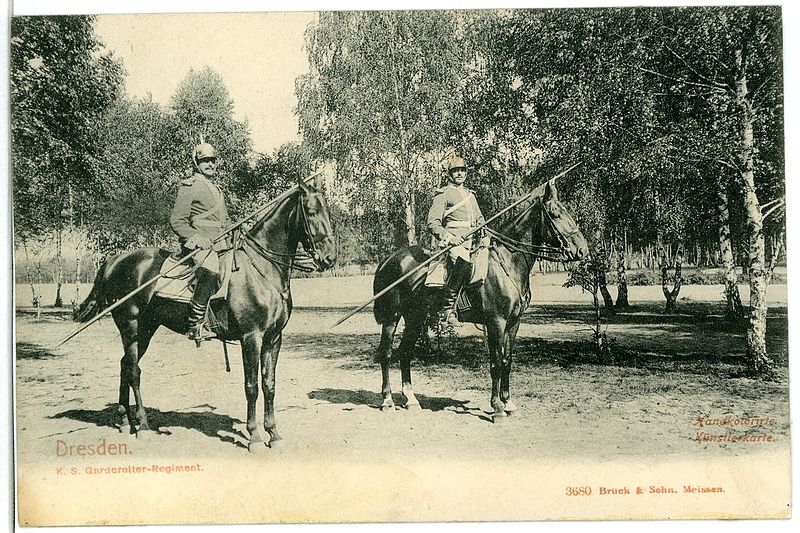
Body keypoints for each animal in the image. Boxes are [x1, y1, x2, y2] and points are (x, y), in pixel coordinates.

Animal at [73, 179, 336, 448]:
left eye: (327, 210)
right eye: (311, 211)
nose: (329, 258)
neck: (261, 269)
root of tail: (114, 261)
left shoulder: (273, 338)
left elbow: (269, 384)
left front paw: (274, 433)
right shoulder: (251, 337)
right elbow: (251, 386)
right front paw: (254, 436)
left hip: (146, 328)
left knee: (125, 365)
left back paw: (125, 420)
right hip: (131, 325)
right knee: (134, 371)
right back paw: (143, 425)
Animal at [370, 181, 588, 422]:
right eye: (556, 214)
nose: (582, 249)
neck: (507, 263)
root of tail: (387, 260)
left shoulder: (513, 323)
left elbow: (507, 361)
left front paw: (508, 402)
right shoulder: (496, 322)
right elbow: (495, 362)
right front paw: (497, 407)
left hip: (415, 318)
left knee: (405, 352)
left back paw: (411, 399)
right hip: (392, 317)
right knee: (386, 353)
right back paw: (388, 400)